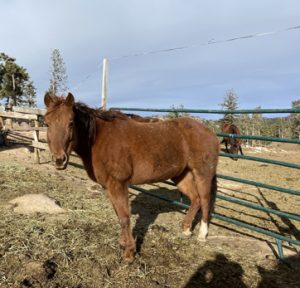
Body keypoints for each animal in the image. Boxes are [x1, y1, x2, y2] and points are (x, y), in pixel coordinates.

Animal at [43, 93, 219, 262]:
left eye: (71, 123)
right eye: (46, 123)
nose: (59, 160)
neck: (99, 139)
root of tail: (209, 132)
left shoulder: (119, 184)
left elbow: (124, 217)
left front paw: (129, 253)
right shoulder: (109, 186)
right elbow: (119, 215)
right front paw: (123, 244)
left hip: (202, 174)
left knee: (204, 200)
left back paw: (202, 235)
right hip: (182, 176)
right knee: (195, 199)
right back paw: (186, 229)